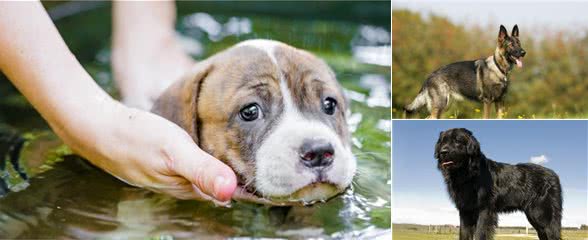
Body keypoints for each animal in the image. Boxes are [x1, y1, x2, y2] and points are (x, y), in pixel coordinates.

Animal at [434, 128, 564, 240]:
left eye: (457, 141)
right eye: (443, 141)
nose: (443, 152)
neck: (468, 174)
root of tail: (554, 174)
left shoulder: (484, 209)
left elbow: (480, 233)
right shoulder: (465, 211)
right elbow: (464, 234)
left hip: (542, 214)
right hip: (534, 216)